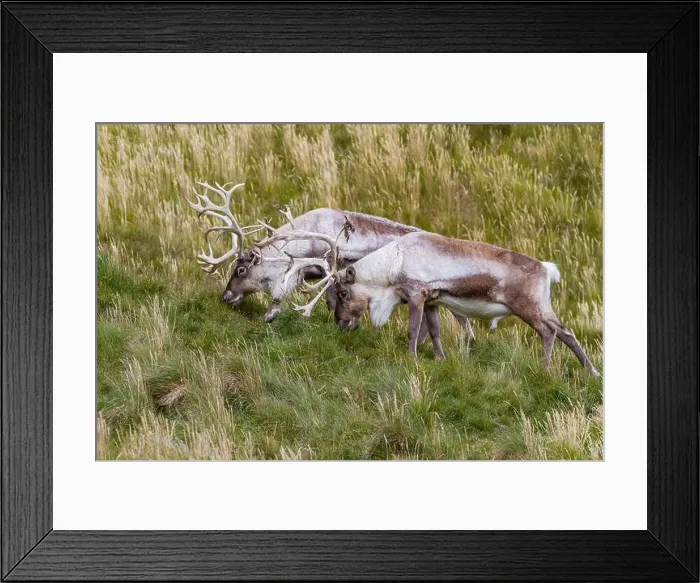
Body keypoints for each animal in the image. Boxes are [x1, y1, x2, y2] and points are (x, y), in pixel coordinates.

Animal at [277, 227, 600, 376]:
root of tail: (547, 269)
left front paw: (411, 358)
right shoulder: (433, 301)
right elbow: (434, 331)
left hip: (527, 308)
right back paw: (592, 370)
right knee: (567, 331)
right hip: (545, 307)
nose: (342, 324)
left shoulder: (416, 295)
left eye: (344, 293)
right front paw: (440, 359)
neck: (392, 265)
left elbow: (413, 331)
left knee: (549, 332)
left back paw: (545, 369)